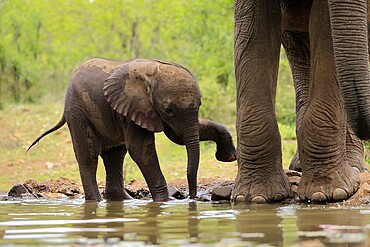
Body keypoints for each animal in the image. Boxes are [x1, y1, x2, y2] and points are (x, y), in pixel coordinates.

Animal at [28, 58, 237, 203]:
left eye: (200, 105)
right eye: (168, 110)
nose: (192, 197)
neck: (152, 72)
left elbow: (179, 134)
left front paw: (229, 156)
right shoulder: (132, 109)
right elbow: (141, 150)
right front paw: (164, 201)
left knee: (115, 155)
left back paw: (123, 200)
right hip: (77, 111)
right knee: (89, 156)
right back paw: (96, 201)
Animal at [234, 0, 370, 204]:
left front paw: (327, 193)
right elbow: (254, 33)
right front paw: (255, 196)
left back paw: (354, 167)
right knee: (301, 51)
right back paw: (300, 166)